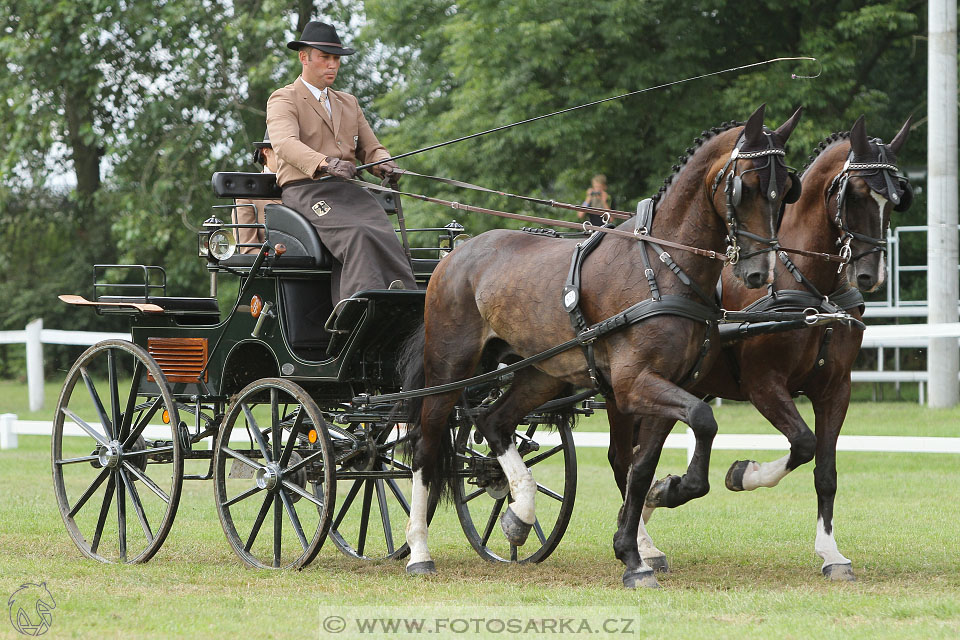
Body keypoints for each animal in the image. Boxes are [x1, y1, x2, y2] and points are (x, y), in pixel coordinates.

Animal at [402, 105, 800, 592]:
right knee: (426, 447)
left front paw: (638, 545)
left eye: (786, 191)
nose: (759, 273)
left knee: (494, 422)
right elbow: (701, 422)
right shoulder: (634, 384)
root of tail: (453, 255)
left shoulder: (665, 386)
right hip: (449, 370)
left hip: (540, 374)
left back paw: (519, 515)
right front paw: (657, 513)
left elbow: (641, 465)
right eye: (746, 185)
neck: (663, 268)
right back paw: (419, 551)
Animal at [612, 114, 912, 580]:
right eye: (859, 192)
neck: (808, 287)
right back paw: (643, 540)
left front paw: (831, 553)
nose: (870, 275)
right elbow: (803, 443)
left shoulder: (836, 389)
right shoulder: (763, 384)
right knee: (624, 460)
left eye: (896, 199)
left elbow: (825, 469)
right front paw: (742, 473)